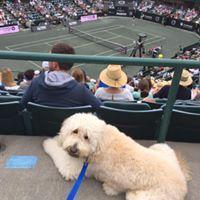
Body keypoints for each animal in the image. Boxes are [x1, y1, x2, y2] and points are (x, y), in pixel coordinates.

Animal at [43, 113, 190, 199]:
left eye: (86, 137)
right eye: (75, 131)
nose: (74, 149)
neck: (100, 141)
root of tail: (182, 182)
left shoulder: (73, 168)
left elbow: (56, 152)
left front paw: (48, 142)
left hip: (141, 196)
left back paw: (110, 188)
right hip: (162, 147)